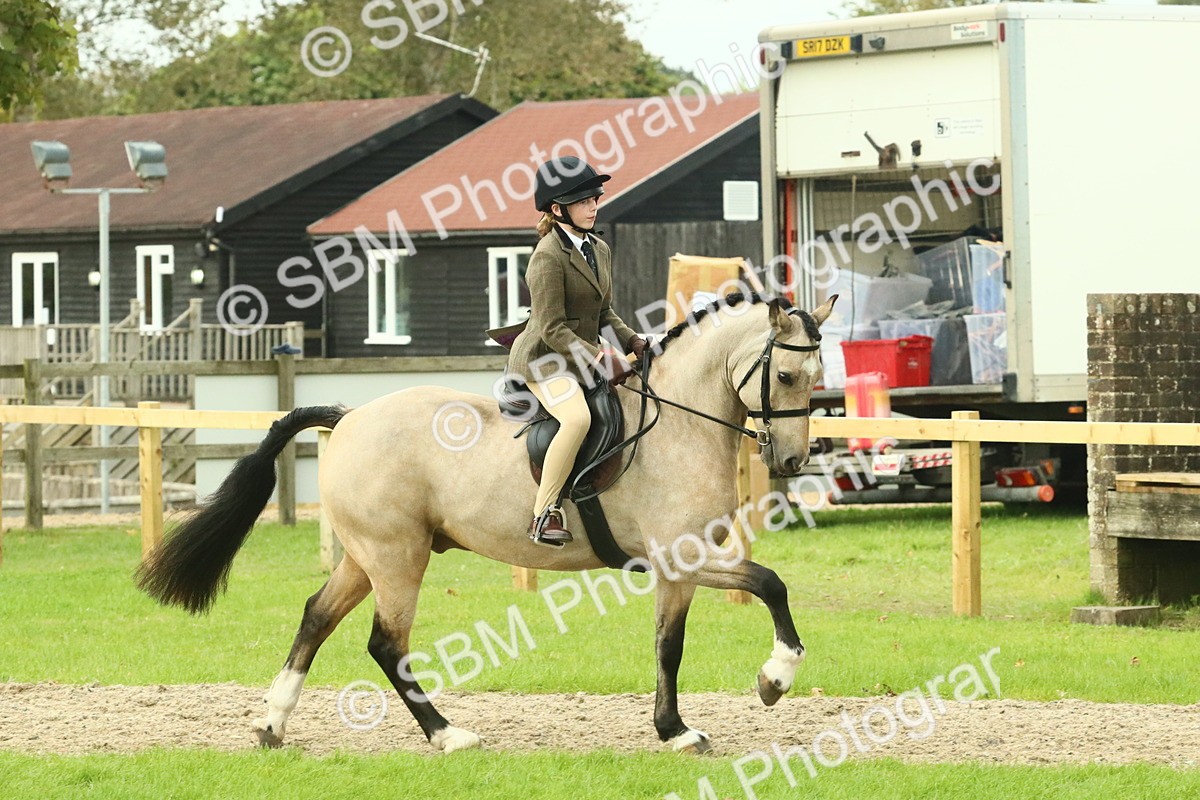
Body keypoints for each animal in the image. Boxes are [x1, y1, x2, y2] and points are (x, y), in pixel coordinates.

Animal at [136, 292, 836, 754]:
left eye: (818, 377)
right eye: (785, 374)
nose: (792, 460)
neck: (681, 423)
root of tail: (350, 416)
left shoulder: (675, 568)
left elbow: (669, 645)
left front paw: (676, 730)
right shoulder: (682, 556)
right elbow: (769, 584)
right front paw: (773, 680)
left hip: (366, 557)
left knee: (315, 617)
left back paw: (272, 724)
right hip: (399, 558)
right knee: (386, 644)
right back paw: (448, 736)